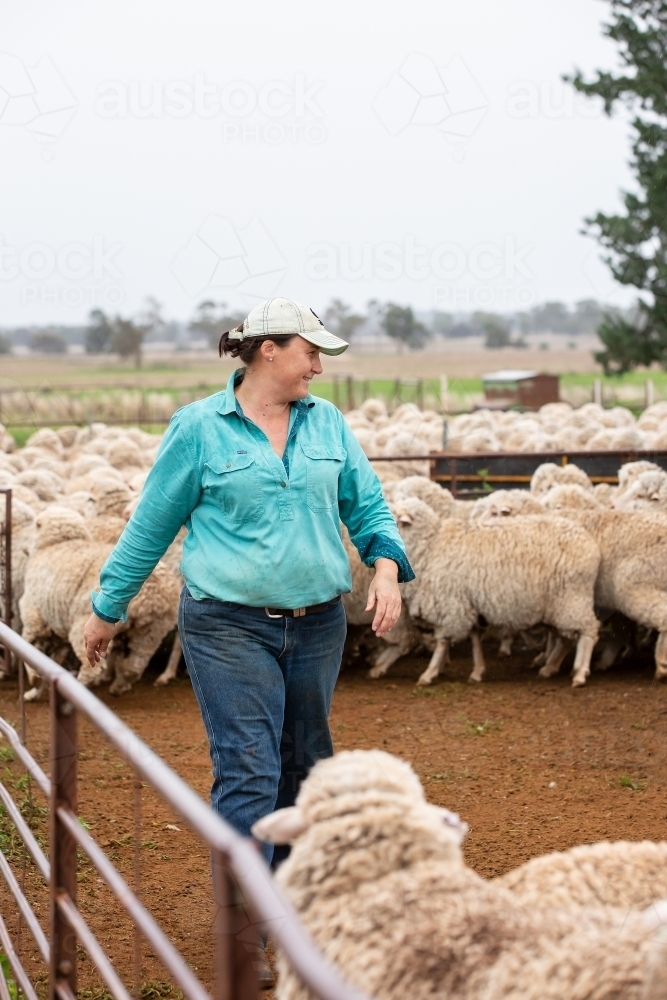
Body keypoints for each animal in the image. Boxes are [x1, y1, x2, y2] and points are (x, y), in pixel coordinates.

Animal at [392, 494, 600, 688]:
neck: (430, 547)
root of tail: (588, 541)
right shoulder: (469, 603)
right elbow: (474, 638)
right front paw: (477, 670)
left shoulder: (450, 604)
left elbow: (443, 642)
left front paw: (430, 672)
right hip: (560, 605)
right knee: (567, 638)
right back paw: (550, 667)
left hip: (573, 597)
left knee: (588, 631)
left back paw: (580, 673)